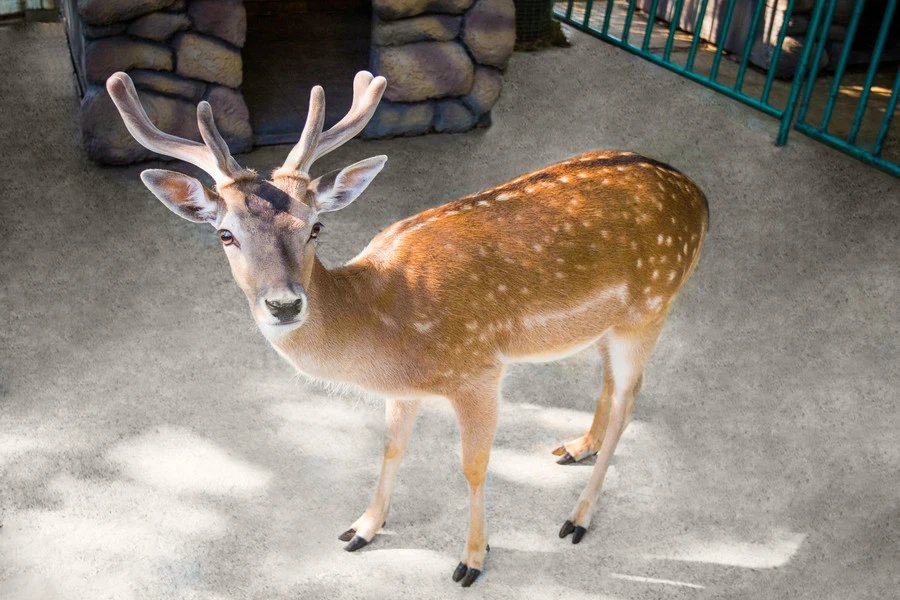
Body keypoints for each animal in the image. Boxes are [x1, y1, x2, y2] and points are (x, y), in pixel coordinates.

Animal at [106, 70, 708, 587]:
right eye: (225, 234)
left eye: (315, 227)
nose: (284, 304)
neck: (385, 327)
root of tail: (698, 196)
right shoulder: (405, 390)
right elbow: (391, 448)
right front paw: (361, 529)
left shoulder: (478, 370)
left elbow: (474, 466)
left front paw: (472, 559)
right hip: (612, 321)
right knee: (609, 385)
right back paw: (574, 447)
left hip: (654, 303)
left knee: (630, 400)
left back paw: (578, 517)